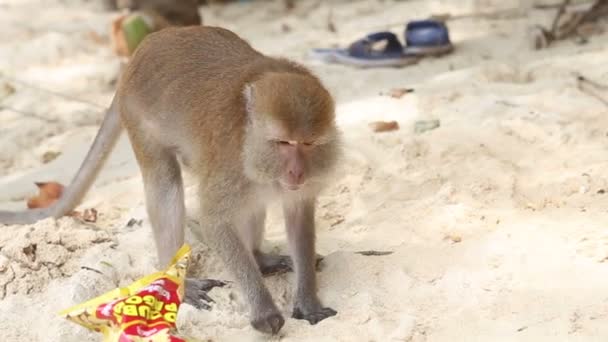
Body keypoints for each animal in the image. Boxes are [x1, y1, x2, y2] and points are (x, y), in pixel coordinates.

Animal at [0, 26, 340, 334]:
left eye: (308, 144)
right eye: (283, 143)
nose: (296, 172)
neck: (250, 138)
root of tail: (144, 48)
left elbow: (299, 219)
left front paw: (307, 300)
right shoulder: (230, 165)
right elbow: (214, 221)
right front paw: (264, 312)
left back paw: (258, 258)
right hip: (138, 118)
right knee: (166, 184)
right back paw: (177, 278)